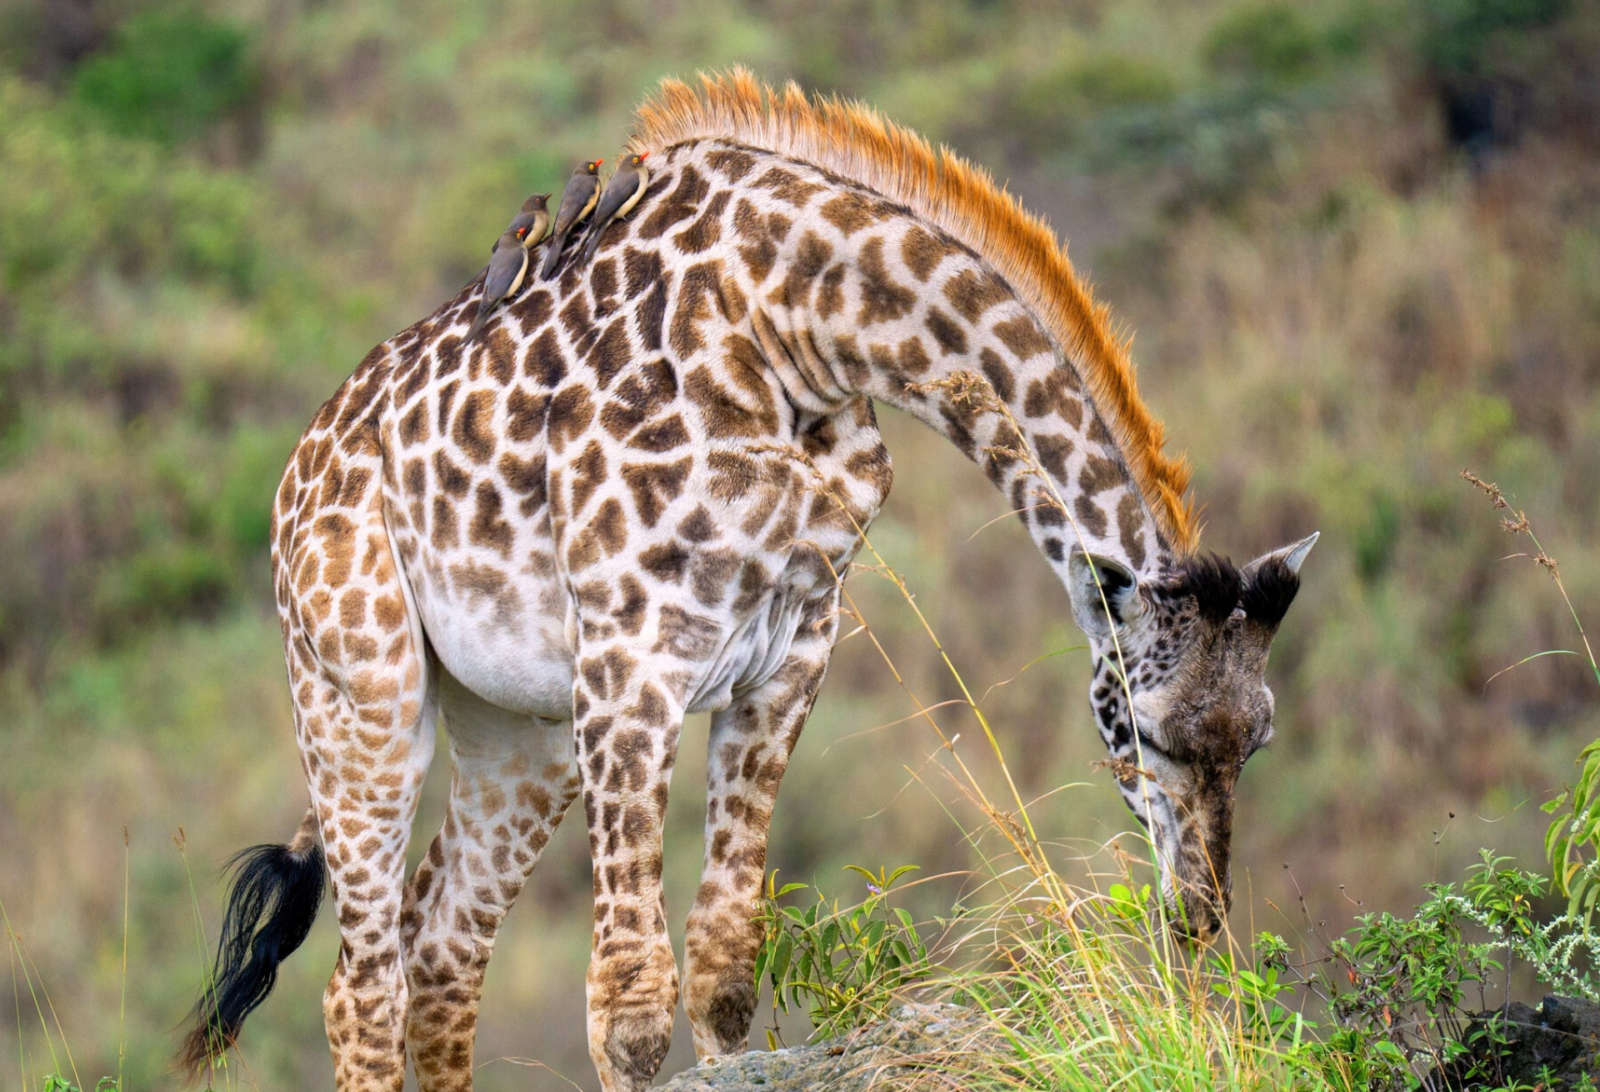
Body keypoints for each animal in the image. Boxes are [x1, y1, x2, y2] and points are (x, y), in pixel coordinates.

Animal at [179, 70, 1316, 1092]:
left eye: (1257, 740)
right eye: (1149, 730)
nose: (1198, 917)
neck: (798, 323)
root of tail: (293, 480)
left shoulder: (787, 659)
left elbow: (725, 965)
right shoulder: (632, 666)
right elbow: (630, 1005)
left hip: (520, 730)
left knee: (443, 949)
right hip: (362, 693)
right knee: (362, 987)